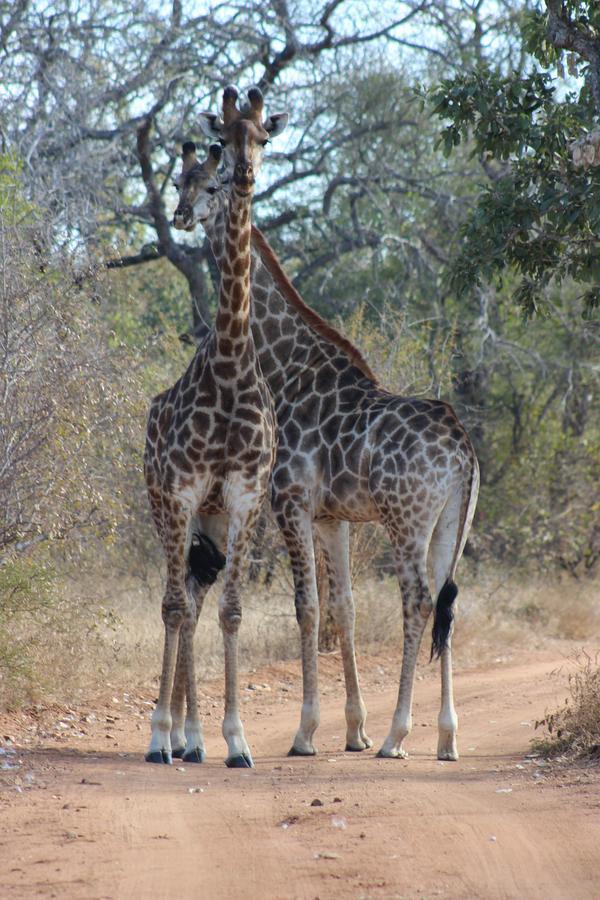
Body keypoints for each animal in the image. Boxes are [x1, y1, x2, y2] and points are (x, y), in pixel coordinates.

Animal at [173, 107, 478, 768]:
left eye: (210, 183)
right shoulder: (331, 516)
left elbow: (307, 608)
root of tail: (464, 450)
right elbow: (344, 607)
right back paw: (445, 738)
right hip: (451, 521)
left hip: (406, 517)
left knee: (418, 597)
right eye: (178, 179)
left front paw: (307, 732)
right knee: (447, 598)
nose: (181, 215)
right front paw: (352, 729)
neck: (286, 364)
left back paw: (398, 736)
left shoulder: (288, 501)